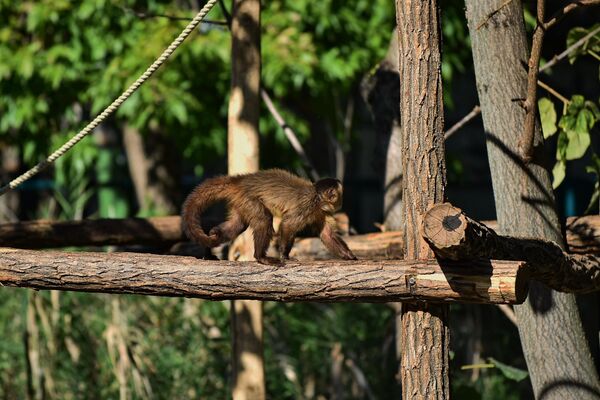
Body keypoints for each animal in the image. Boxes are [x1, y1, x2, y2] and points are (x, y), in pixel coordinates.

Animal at [182, 168, 356, 264]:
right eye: (340, 194)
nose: (341, 201)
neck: (319, 200)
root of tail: (240, 180)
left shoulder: (321, 212)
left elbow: (327, 235)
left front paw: (348, 255)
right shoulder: (308, 207)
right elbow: (287, 225)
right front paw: (285, 255)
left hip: (241, 202)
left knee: (238, 225)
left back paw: (213, 236)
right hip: (248, 198)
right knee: (263, 220)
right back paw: (260, 257)